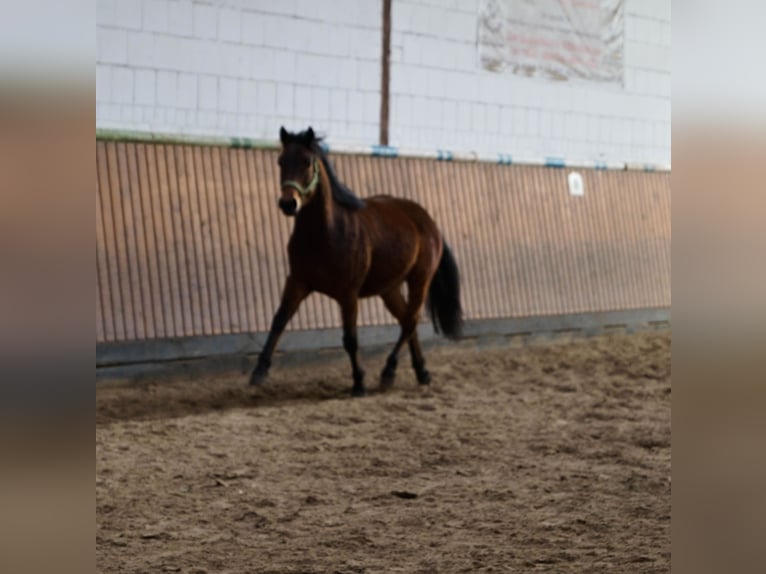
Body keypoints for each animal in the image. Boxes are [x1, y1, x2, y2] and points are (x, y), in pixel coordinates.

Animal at [250, 126, 462, 398]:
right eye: (280, 161)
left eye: (307, 161)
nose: (288, 203)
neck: (324, 233)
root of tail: (428, 220)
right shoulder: (297, 281)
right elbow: (279, 320)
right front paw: (259, 371)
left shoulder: (348, 294)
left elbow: (350, 339)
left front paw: (359, 383)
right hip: (389, 289)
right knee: (407, 321)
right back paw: (421, 371)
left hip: (419, 280)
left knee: (410, 322)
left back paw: (389, 371)